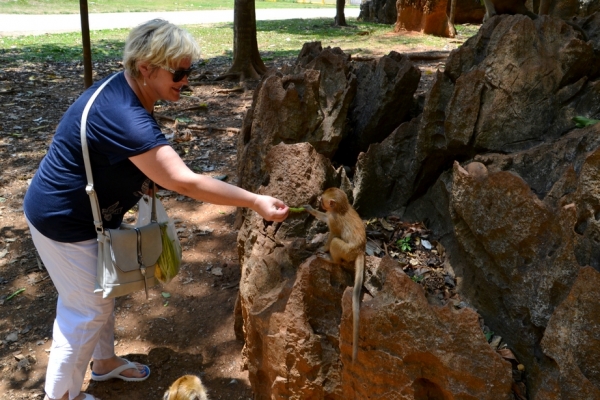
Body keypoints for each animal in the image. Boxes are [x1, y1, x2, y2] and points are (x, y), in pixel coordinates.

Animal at [304, 188, 366, 362]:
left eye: (323, 200)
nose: (319, 201)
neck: (342, 208)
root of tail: (360, 250)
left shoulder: (334, 219)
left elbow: (332, 234)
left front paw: (323, 248)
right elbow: (325, 218)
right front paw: (311, 210)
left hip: (347, 251)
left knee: (336, 242)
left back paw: (332, 259)